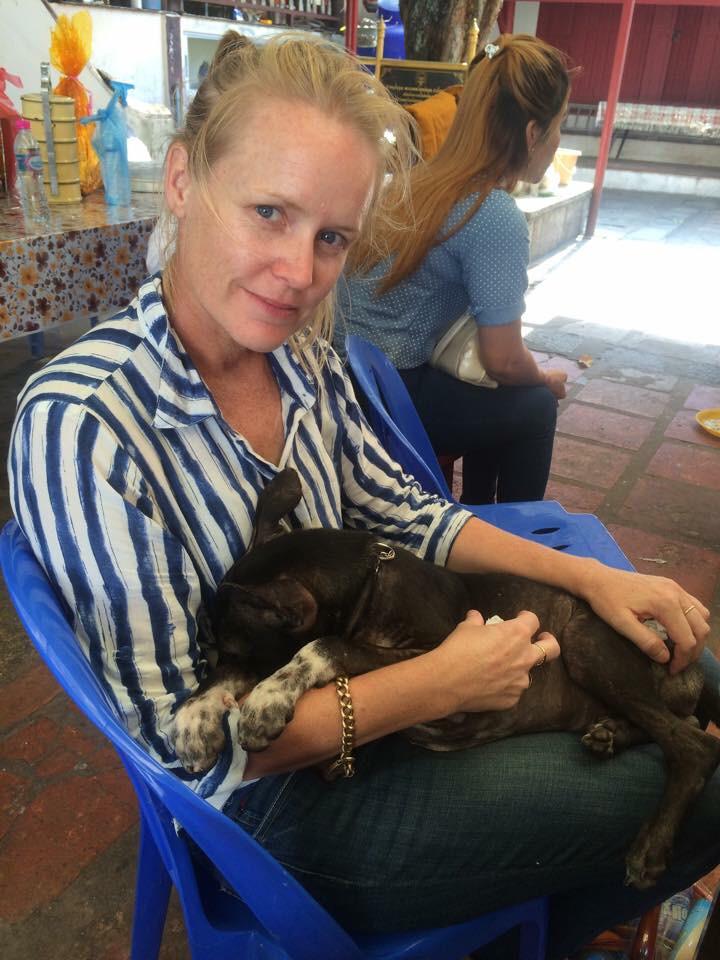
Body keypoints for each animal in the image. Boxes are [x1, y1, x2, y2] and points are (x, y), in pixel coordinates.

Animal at [173, 468, 720, 890]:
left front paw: (267, 699)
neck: (371, 582)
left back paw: (650, 845)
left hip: (585, 642)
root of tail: (689, 664)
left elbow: (325, 646)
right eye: (213, 651)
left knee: (696, 744)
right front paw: (192, 722)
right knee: (674, 727)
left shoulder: (435, 656)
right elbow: (217, 688)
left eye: (236, 650)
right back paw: (610, 735)